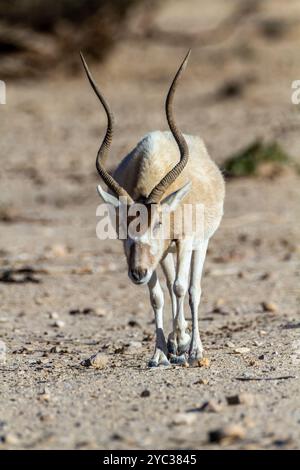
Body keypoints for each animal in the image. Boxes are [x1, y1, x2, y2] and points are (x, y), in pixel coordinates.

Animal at [81, 51, 224, 368]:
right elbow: (158, 296)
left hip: (200, 244)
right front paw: (160, 353)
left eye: (157, 223)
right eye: (124, 229)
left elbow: (183, 288)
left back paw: (190, 345)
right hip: (164, 254)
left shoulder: (183, 241)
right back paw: (176, 339)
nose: (137, 272)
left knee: (192, 288)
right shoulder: (153, 256)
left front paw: (190, 350)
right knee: (170, 285)